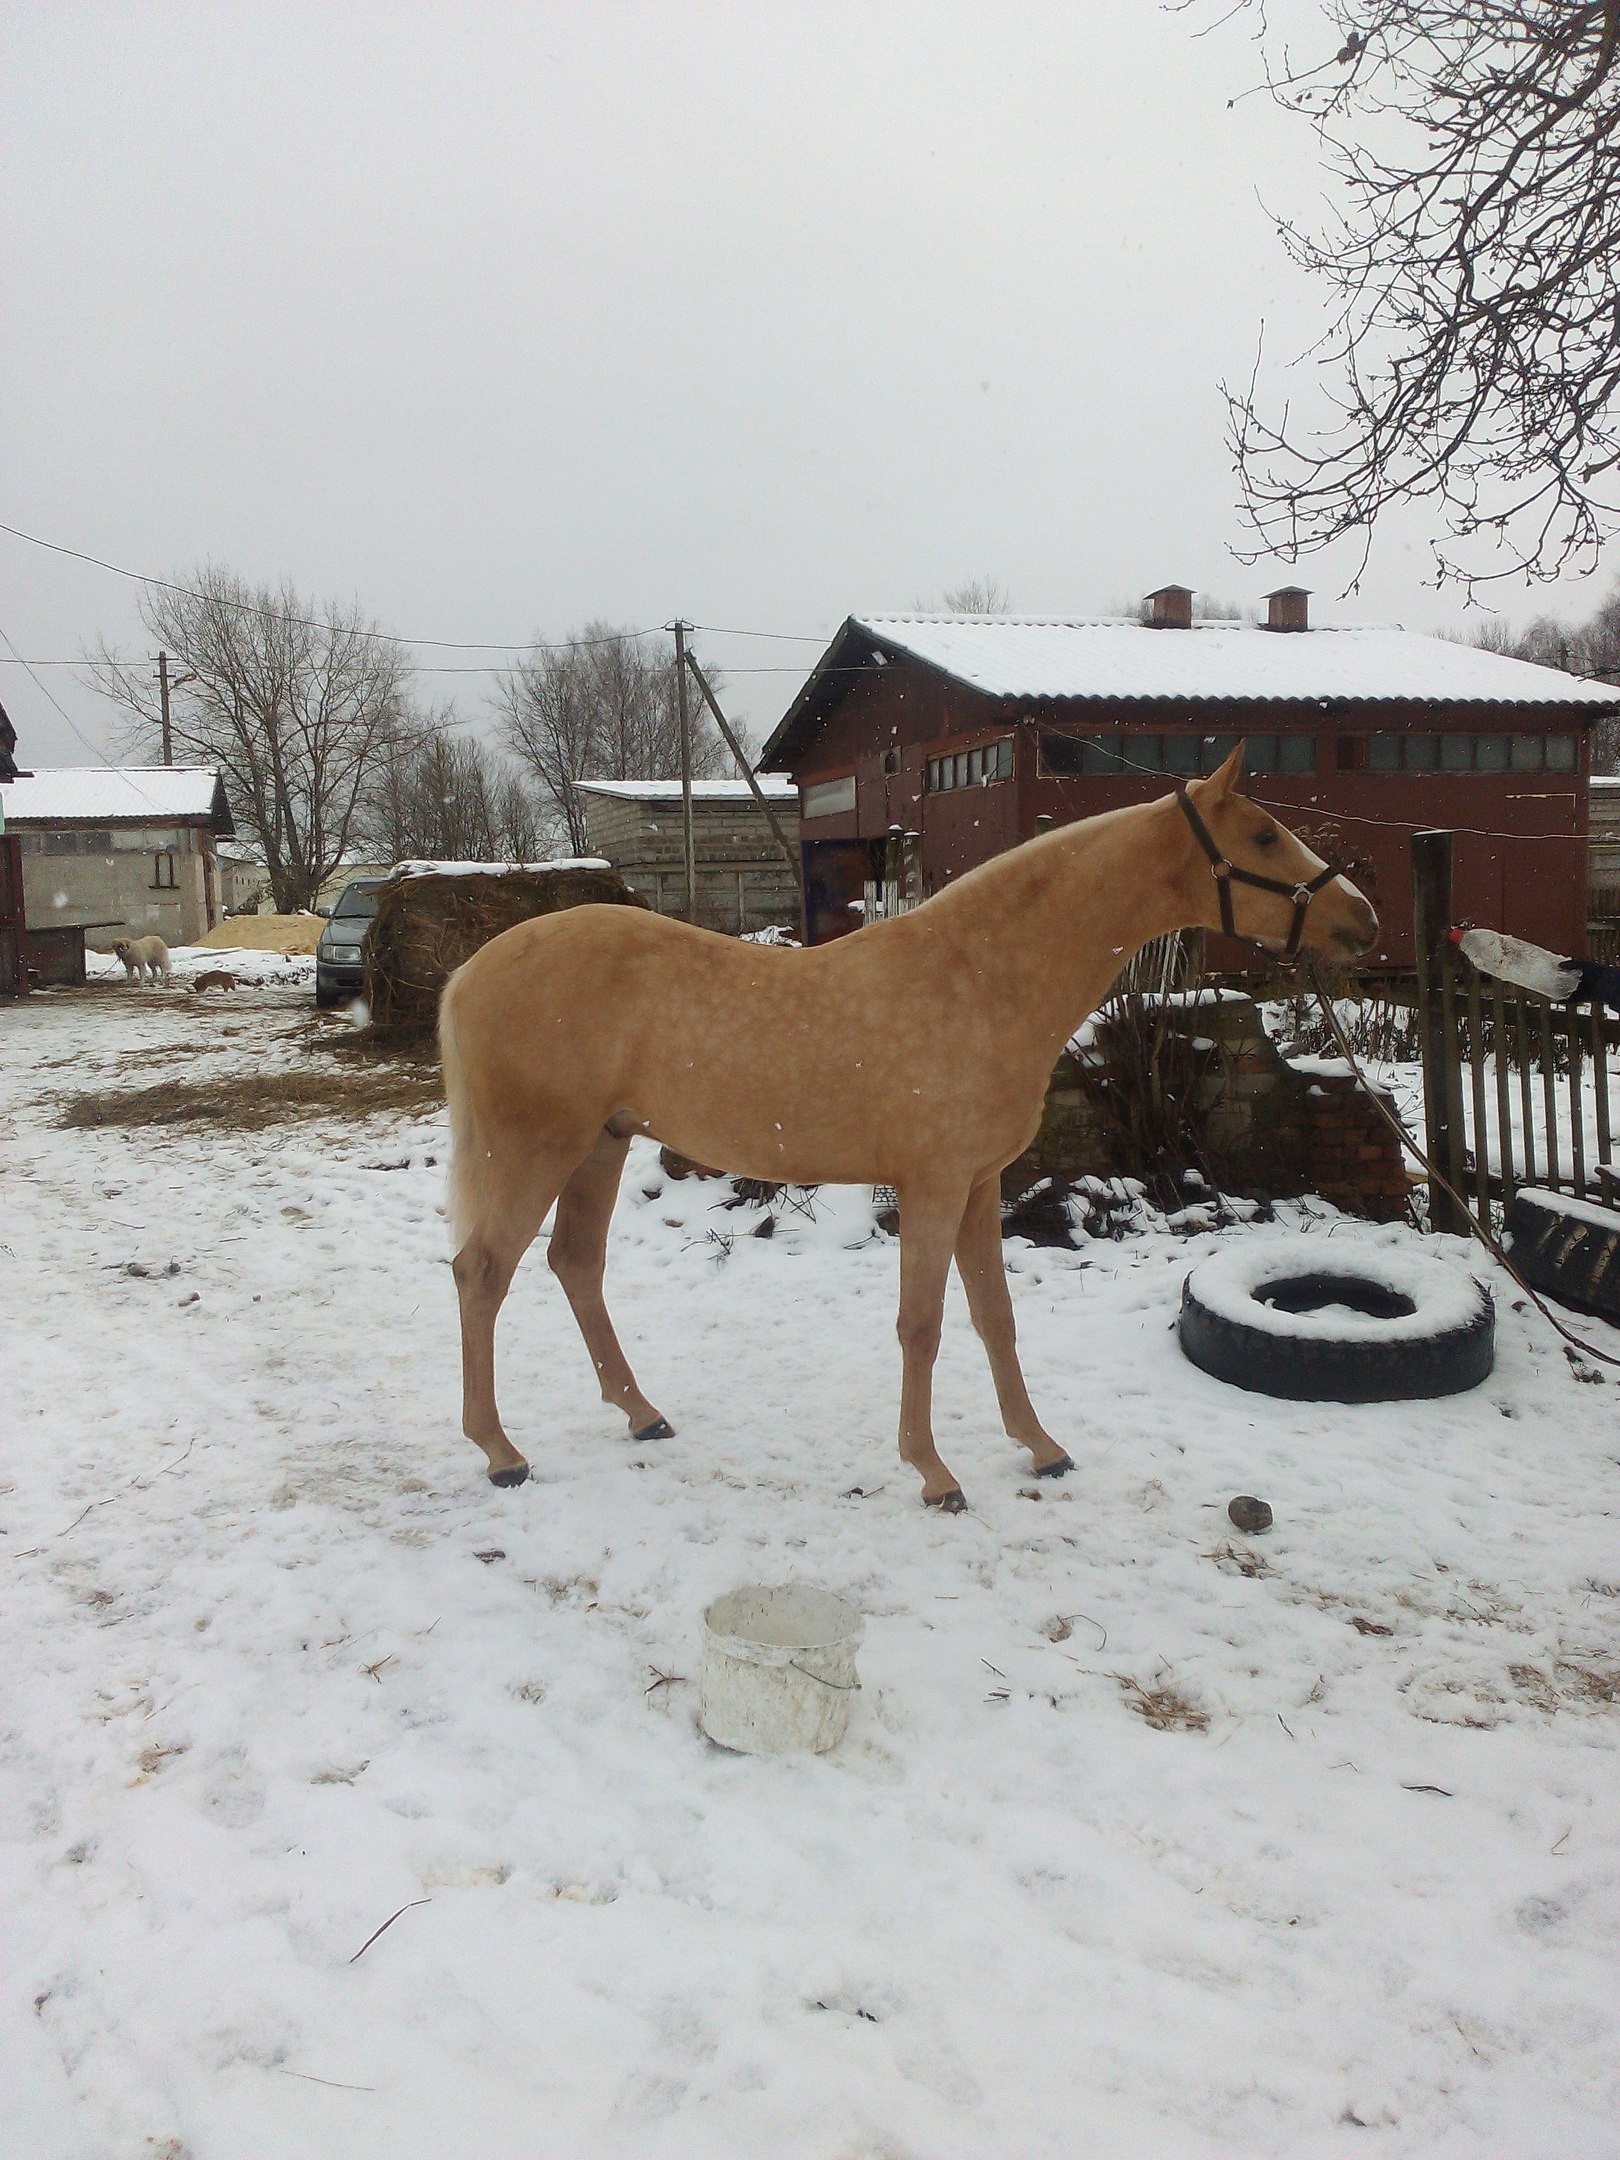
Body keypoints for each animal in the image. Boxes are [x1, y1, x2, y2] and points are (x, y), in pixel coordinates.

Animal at [438, 745, 1377, 1508]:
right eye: (1261, 838)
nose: (1363, 920)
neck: (979, 978)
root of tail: (472, 970)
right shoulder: (931, 1185)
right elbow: (920, 1325)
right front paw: (934, 1473)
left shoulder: (980, 1183)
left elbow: (995, 1316)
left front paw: (1040, 1448)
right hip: (537, 1148)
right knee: (482, 1273)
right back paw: (499, 1453)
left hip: (602, 1143)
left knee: (575, 1265)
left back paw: (640, 1415)